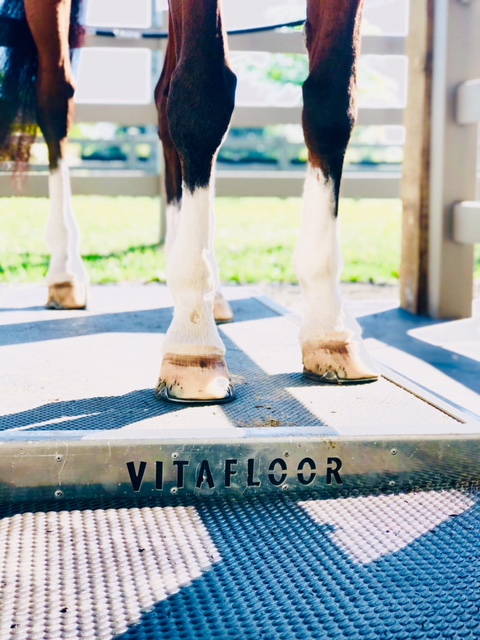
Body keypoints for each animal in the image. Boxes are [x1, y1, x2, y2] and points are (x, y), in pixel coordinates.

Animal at [0, 0, 379, 405]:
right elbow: (202, 96)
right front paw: (194, 345)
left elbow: (331, 107)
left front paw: (330, 328)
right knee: (56, 101)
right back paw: (65, 271)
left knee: (162, 101)